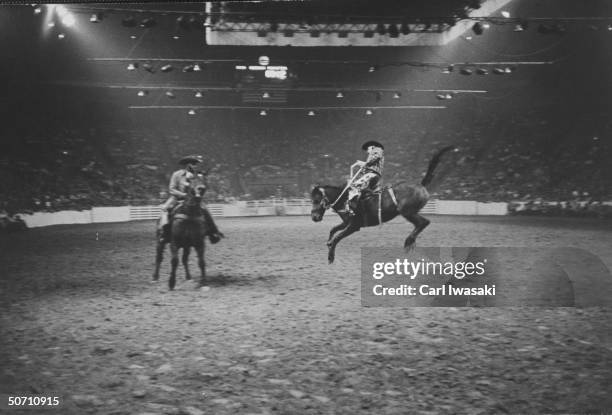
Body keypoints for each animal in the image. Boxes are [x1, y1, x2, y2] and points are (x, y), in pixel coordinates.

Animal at [310, 146, 454, 264]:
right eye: (311, 200)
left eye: (316, 200)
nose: (314, 217)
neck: (346, 198)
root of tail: (421, 185)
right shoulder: (346, 222)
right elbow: (333, 230)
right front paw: (328, 243)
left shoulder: (354, 226)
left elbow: (337, 237)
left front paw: (330, 257)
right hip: (410, 212)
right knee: (421, 223)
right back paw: (411, 241)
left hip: (407, 211)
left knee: (424, 222)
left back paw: (408, 241)